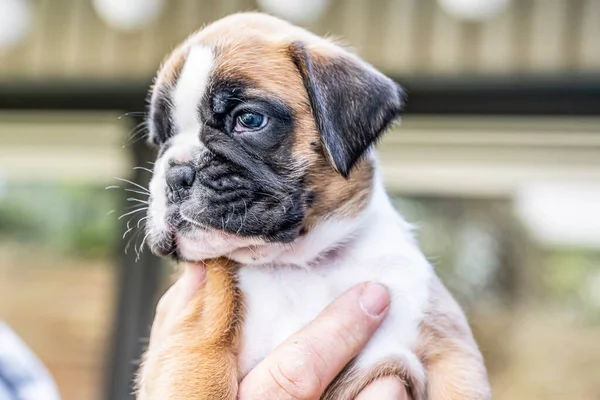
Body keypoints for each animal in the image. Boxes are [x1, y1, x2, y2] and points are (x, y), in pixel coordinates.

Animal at [137, 10, 492, 398]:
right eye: (160, 140)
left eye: (249, 119)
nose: (176, 173)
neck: (303, 263)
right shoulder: (194, 343)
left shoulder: (450, 351)